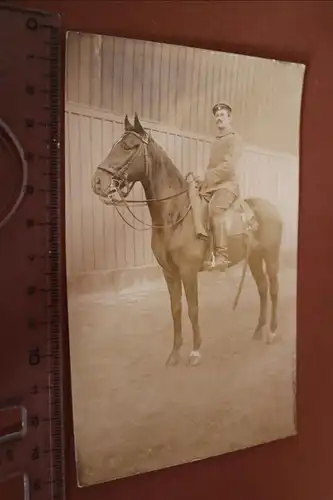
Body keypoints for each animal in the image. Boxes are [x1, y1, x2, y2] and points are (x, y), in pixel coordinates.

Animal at [91, 113, 282, 368]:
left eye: (128, 146)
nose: (98, 182)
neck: (176, 215)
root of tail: (272, 209)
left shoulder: (188, 272)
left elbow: (193, 309)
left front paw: (195, 351)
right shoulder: (169, 272)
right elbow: (176, 309)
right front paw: (174, 353)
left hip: (271, 257)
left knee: (273, 290)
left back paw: (272, 331)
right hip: (254, 258)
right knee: (262, 288)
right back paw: (259, 330)